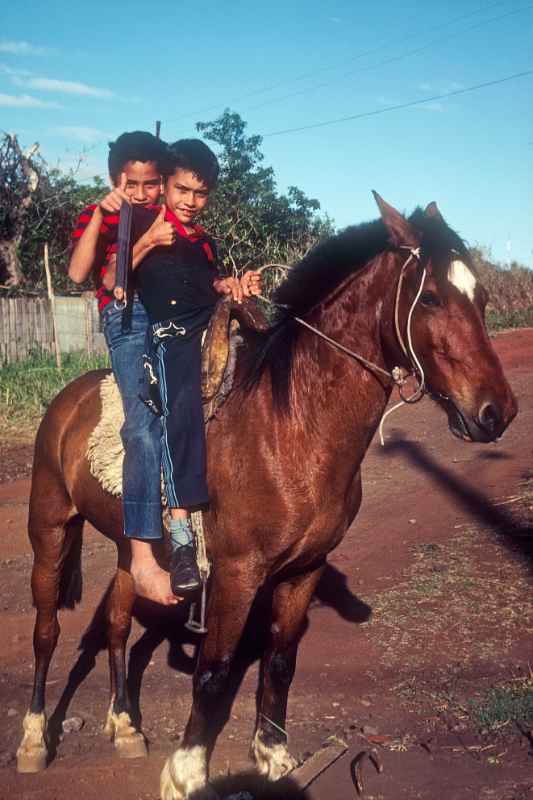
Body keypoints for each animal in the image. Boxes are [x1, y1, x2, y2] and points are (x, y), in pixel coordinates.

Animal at [17, 195, 516, 800]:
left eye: (483, 299)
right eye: (434, 298)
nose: (497, 411)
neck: (291, 426)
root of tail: (68, 399)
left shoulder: (304, 570)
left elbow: (279, 661)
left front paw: (274, 757)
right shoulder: (237, 574)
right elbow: (213, 673)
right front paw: (187, 775)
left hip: (125, 546)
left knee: (115, 626)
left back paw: (125, 725)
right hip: (49, 531)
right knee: (47, 632)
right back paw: (34, 739)